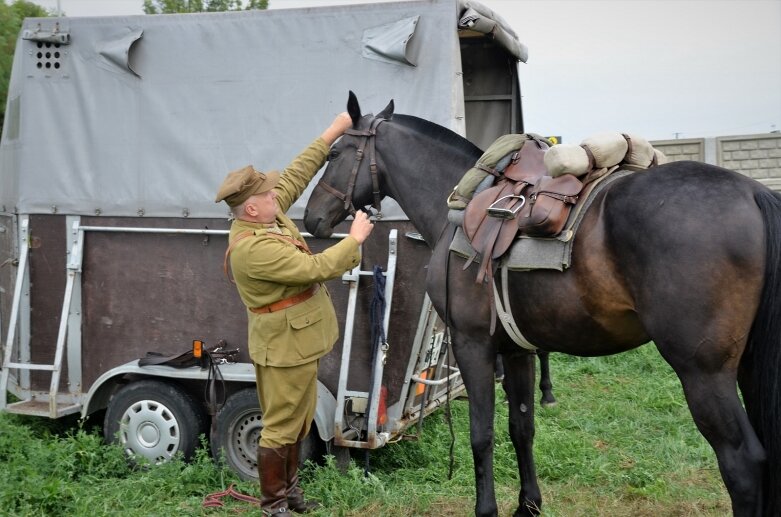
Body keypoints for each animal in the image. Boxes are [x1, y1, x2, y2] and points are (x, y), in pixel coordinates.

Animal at [306, 92, 780, 516]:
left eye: (335, 152)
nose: (313, 218)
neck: (459, 205)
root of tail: (753, 194)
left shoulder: (473, 344)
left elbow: (482, 433)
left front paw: (487, 509)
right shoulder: (518, 350)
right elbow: (522, 428)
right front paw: (528, 505)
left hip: (703, 372)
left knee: (743, 461)